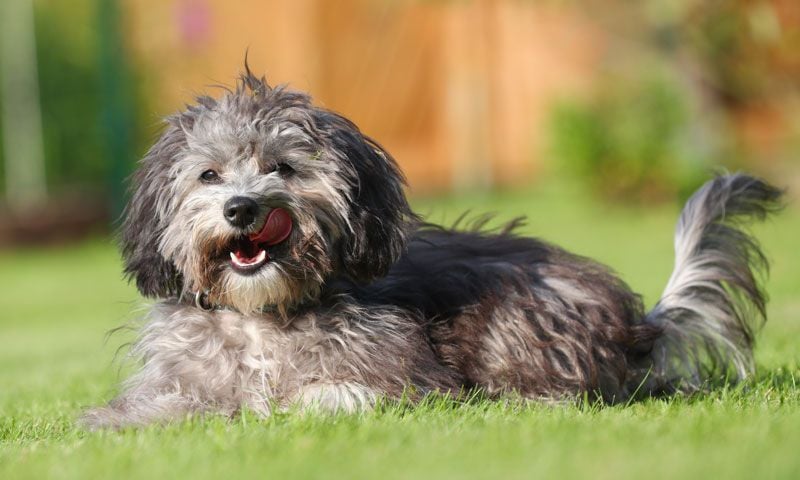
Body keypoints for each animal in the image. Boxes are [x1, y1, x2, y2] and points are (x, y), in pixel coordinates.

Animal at [79, 69, 780, 430]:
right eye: (209, 175)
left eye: (283, 167)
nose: (243, 209)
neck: (261, 316)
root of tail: (638, 325)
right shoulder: (177, 380)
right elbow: (158, 407)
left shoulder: (403, 378)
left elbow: (330, 396)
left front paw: (280, 408)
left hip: (515, 313)